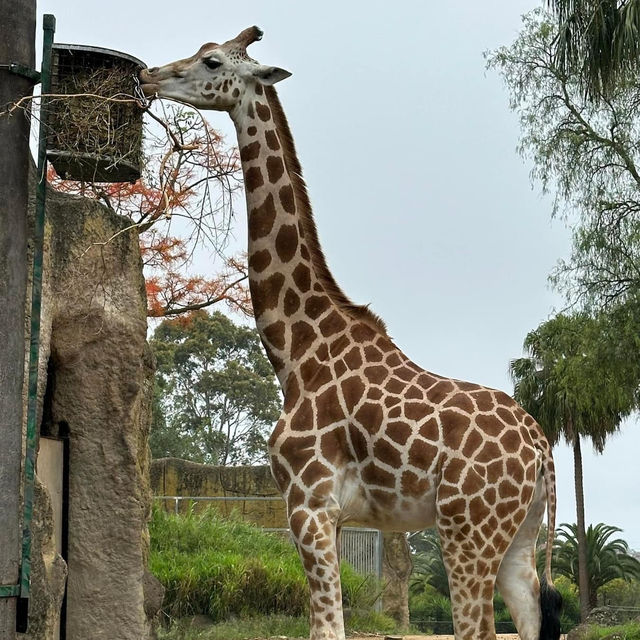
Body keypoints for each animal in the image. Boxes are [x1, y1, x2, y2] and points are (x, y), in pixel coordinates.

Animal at [139, 26, 560, 640]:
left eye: (212, 61)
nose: (149, 75)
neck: (295, 351)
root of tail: (542, 450)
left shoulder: (307, 503)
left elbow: (326, 626)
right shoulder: (332, 515)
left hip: (468, 527)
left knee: (478, 626)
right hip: (519, 534)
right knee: (527, 612)